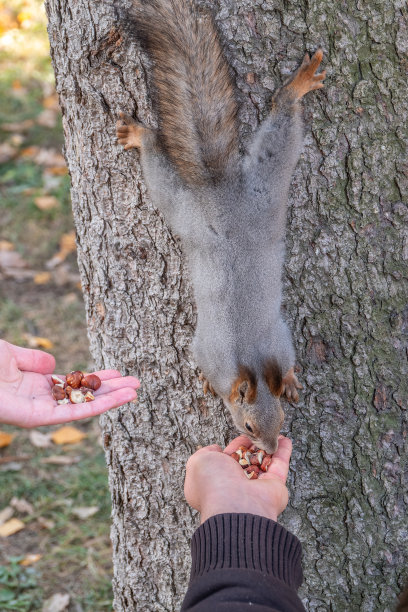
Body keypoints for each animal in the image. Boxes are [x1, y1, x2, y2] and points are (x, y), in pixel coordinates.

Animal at [116, 0, 326, 450]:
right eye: (247, 427)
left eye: (282, 420)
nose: (269, 450)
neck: (252, 360)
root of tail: (220, 192)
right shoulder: (211, 352)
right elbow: (207, 368)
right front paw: (209, 386)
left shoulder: (278, 343)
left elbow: (287, 365)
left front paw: (290, 381)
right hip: (192, 208)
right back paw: (143, 136)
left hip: (264, 189)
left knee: (282, 123)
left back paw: (296, 88)